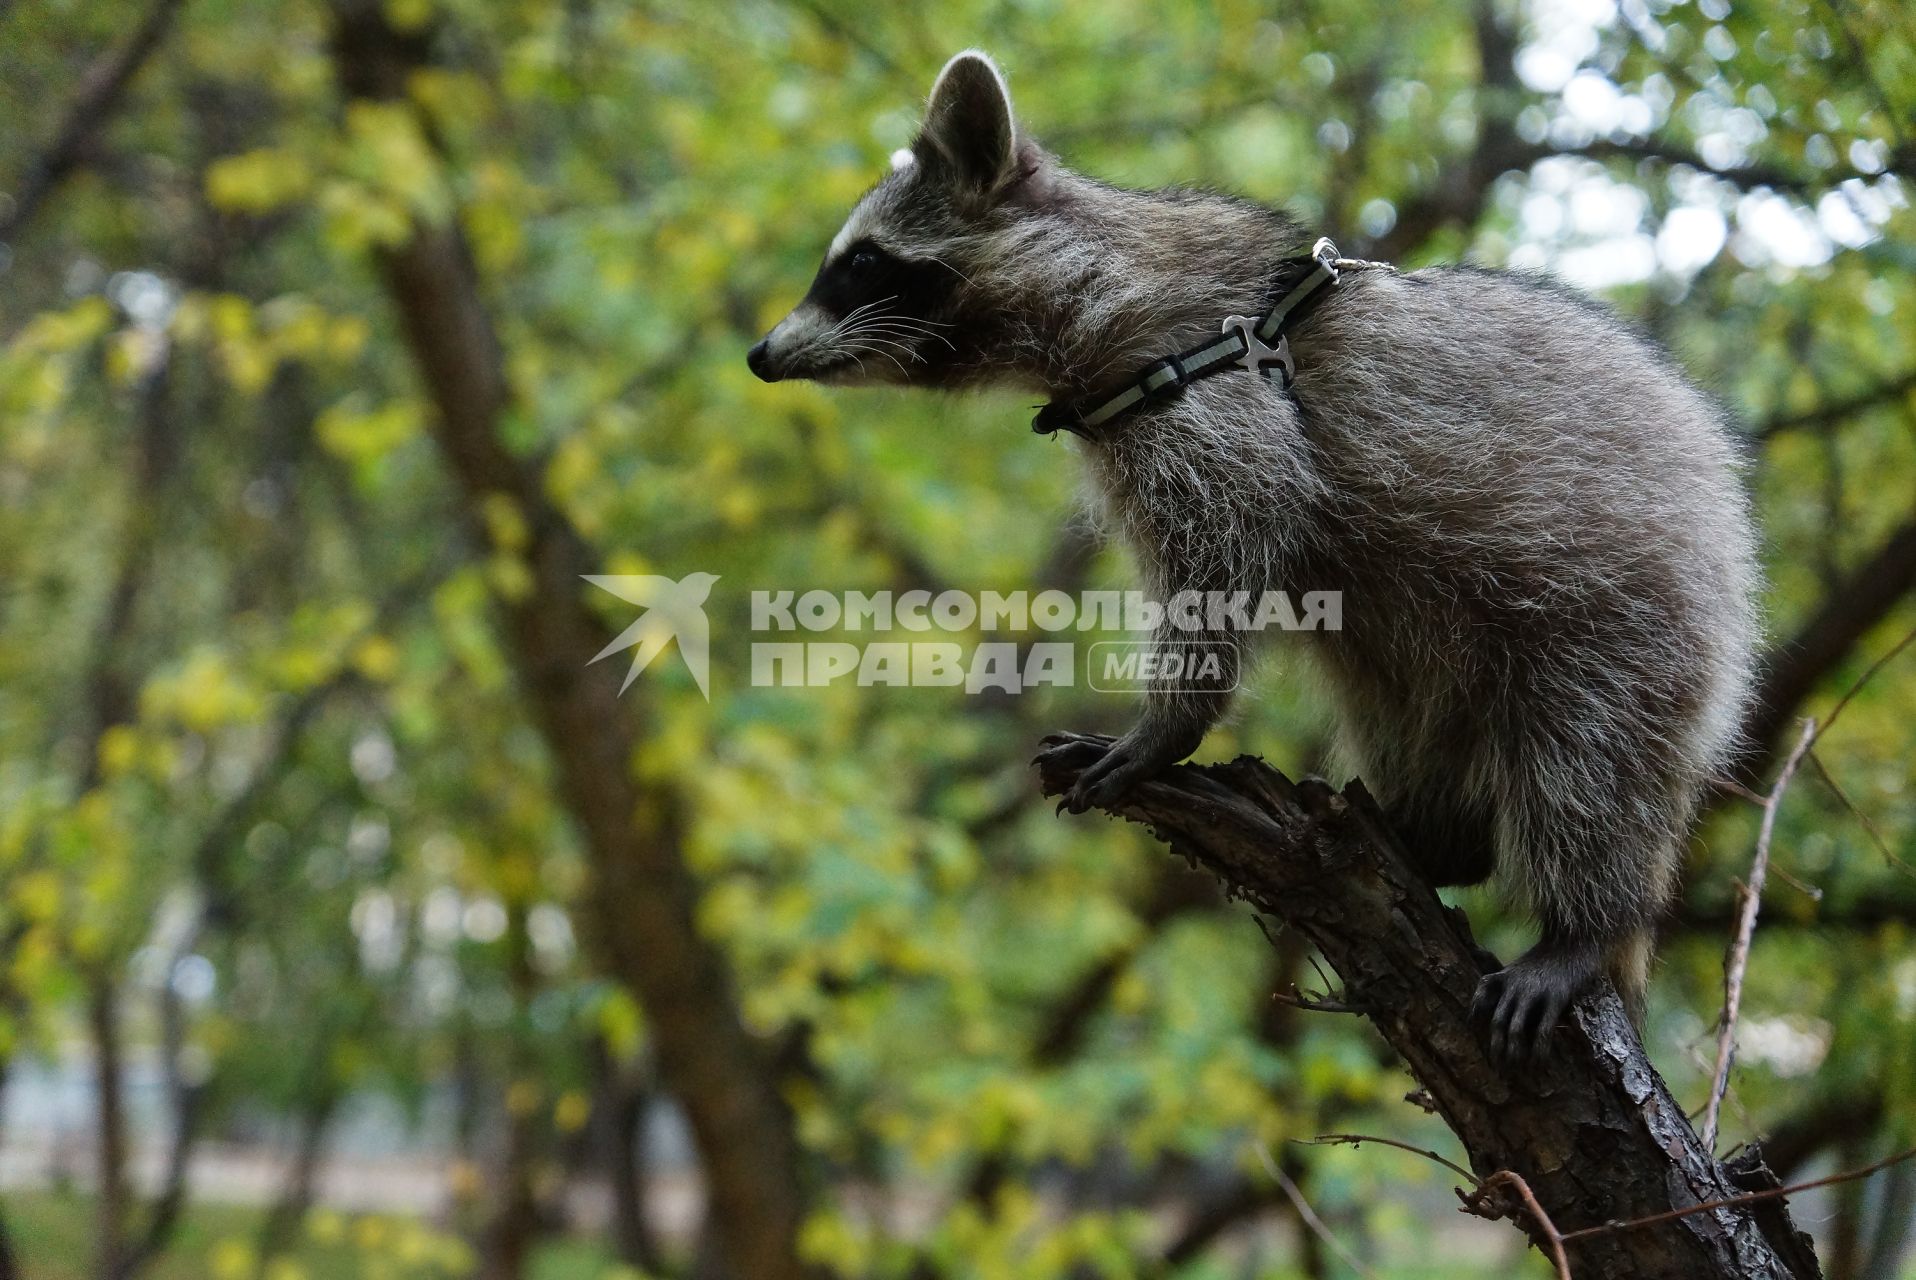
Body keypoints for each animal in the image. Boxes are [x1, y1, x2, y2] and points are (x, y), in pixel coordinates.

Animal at [739, 50, 1755, 1065]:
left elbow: (1224, 559)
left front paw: (1168, 724)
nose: (758, 354)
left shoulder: (1215, 401)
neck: (1099, 285)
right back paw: (1426, 834)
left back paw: (1587, 923)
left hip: (1622, 608)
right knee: (1404, 713)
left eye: (861, 263)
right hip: (1432, 647)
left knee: (1590, 766)